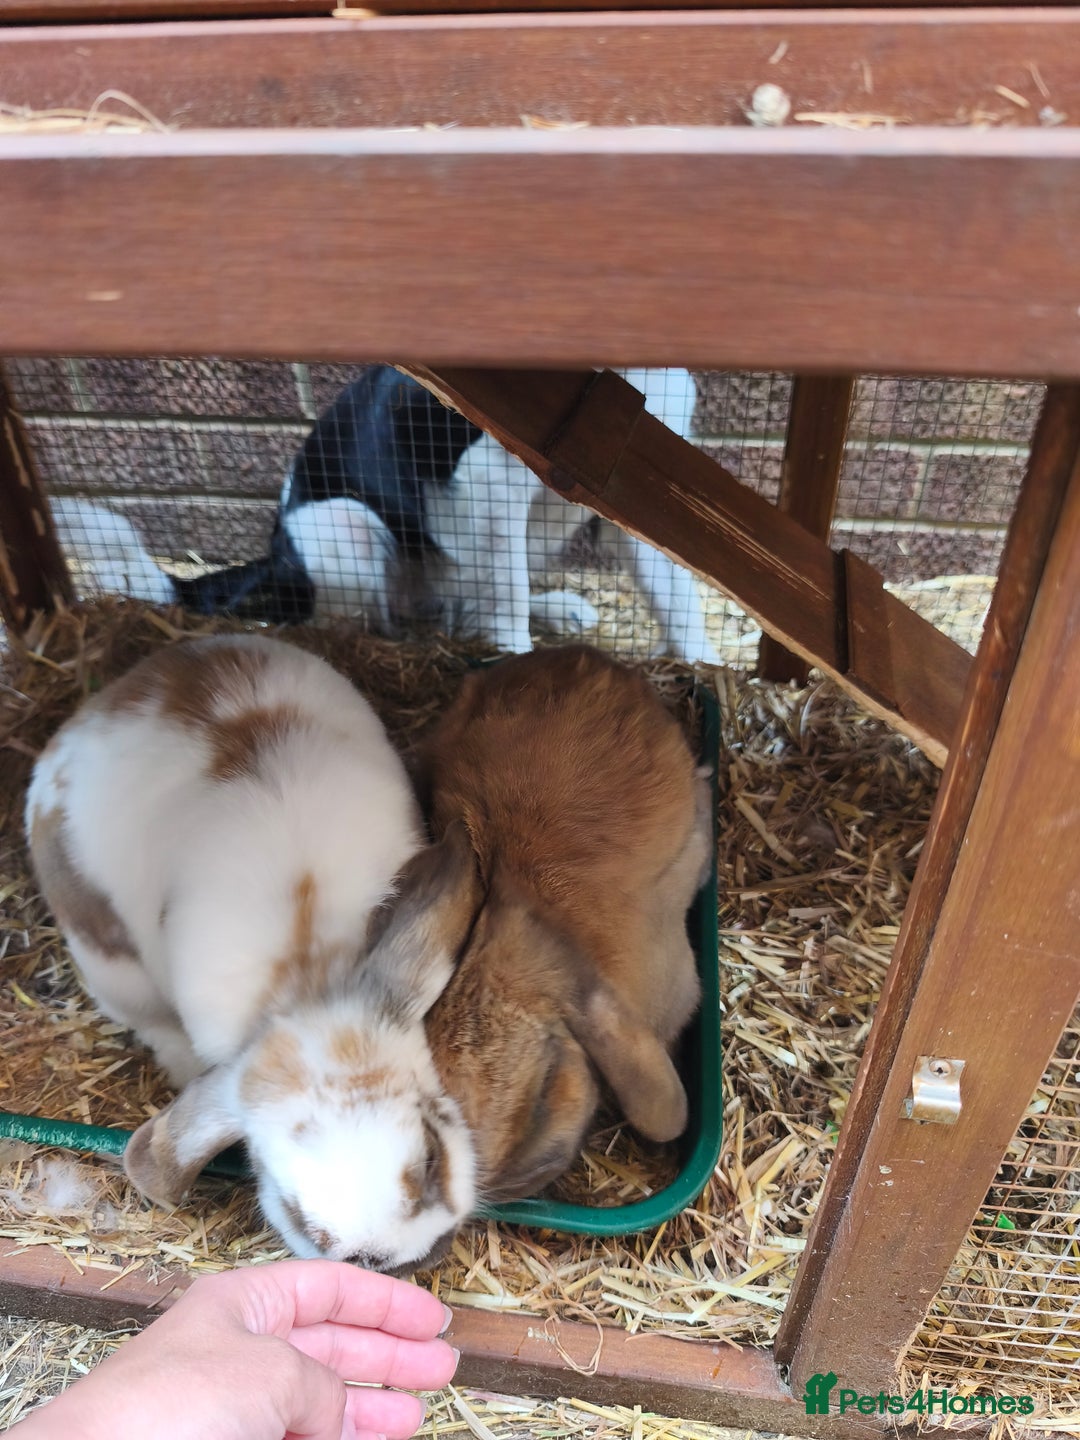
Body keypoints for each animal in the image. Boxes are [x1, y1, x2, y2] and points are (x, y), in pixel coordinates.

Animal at [24, 633, 480, 1273]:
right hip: (108, 964)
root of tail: (95, 711)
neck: (306, 976)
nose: (409, 1257)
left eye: (432, 1154)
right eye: (301, 1222)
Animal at [53, 366, 720, 664]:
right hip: (345, 524)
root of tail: (273, 562)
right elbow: (507, 601)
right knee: (369, 623)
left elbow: (682, 604)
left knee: (465, 606)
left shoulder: (649, 505)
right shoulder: (492, 485)